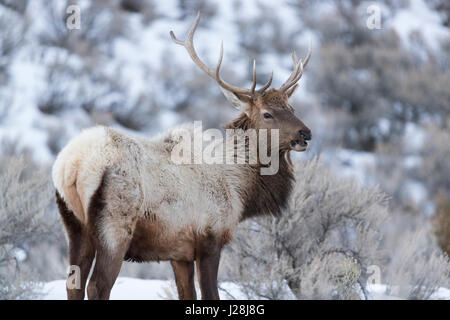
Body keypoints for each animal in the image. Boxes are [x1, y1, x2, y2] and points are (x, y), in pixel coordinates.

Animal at [52, 13, 312, 300]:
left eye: (292, 107)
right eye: (267, 114)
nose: (305, 133)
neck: (240, 190)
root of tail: (72, 165)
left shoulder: (180, 253)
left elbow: (187, 294)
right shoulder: (210, 238)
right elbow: (210, 294)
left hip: (74, 226)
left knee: (73, 282)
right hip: (115, 225)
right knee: (97, 285)